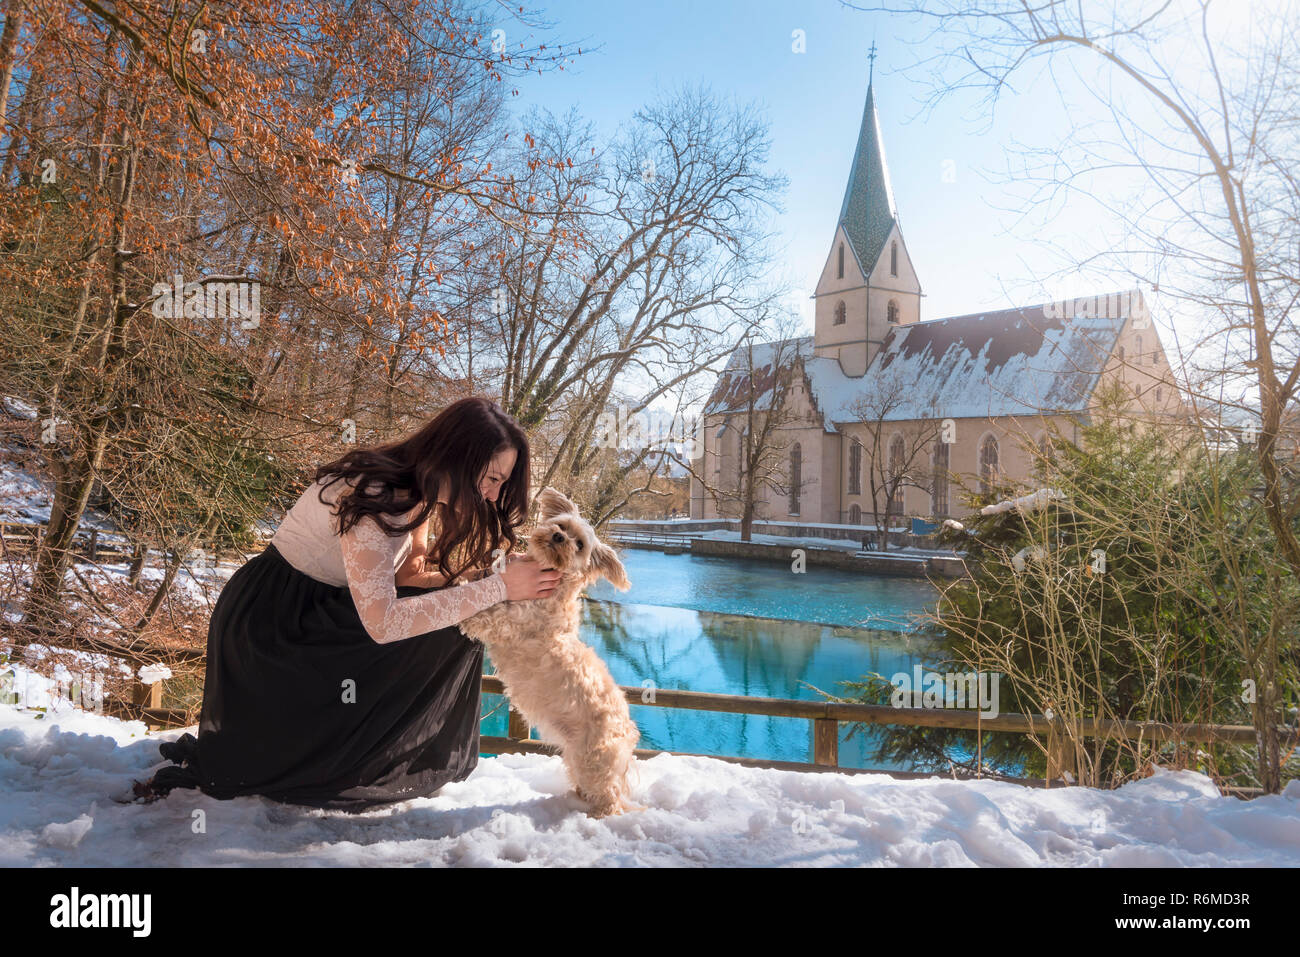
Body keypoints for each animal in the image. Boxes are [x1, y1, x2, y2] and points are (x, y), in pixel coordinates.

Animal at [462, 486, 644, 816]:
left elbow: (490, 614)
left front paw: (463, 613)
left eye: (580, 544)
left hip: (593, 762)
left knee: (609, 798)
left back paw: (598, 815)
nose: (559, 537)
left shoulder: (510, 624)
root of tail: (628, 735)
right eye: (562, 525)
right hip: (577, 758)